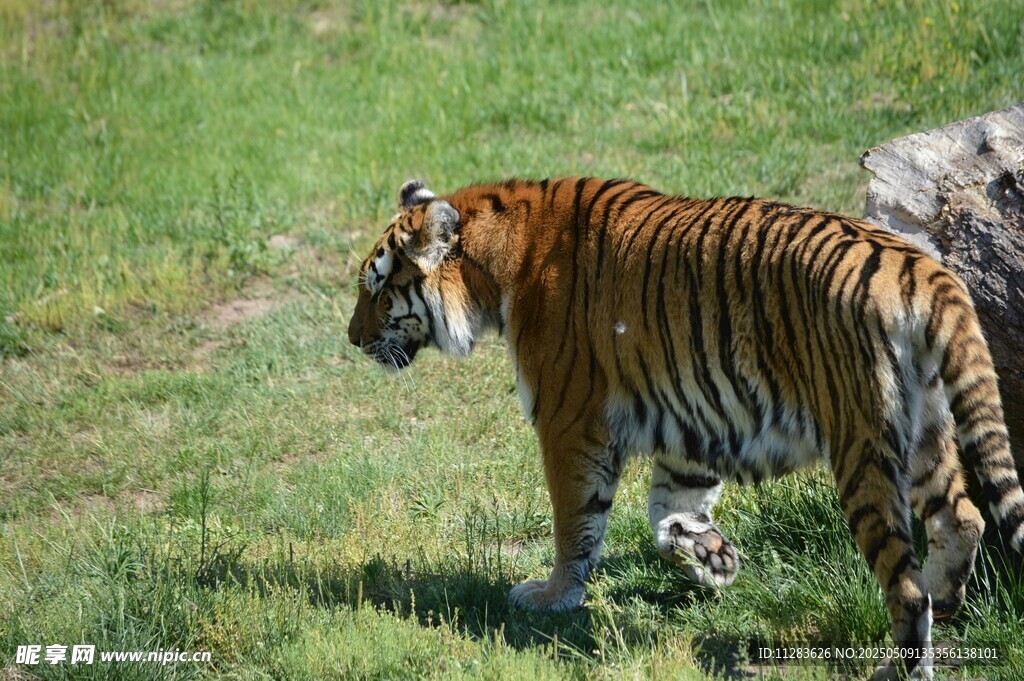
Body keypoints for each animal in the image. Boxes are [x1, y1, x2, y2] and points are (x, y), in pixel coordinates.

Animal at [347, 177, 1024, 679]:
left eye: (379, 290)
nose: (352, 340)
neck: (496, 264)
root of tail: (922, 267)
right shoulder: (693, 418)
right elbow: (667, 514)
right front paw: (714, 560)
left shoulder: (570, 420)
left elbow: (575, 523)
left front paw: (553, 597)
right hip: (927, 430)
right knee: (962, 519)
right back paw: (945, 600)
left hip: (861, 444)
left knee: (905, 585)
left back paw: (894, 666)